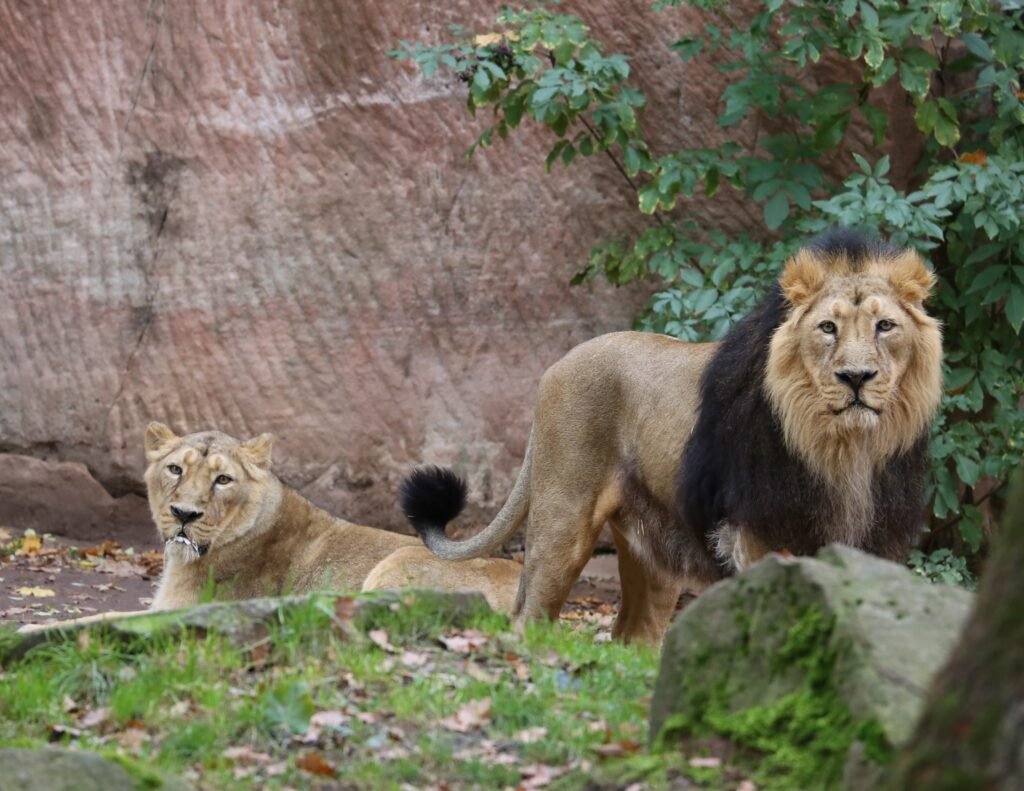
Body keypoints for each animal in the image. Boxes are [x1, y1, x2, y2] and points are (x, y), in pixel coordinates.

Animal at [399, 229, 944, 644]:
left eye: (885, 326)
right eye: (828, 328)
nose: (856, 377)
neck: (844, 450)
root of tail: (558, 364)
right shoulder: (756, 539)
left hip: (654, 556)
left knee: (631, 635)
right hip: (562, 519)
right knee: (528, 613)